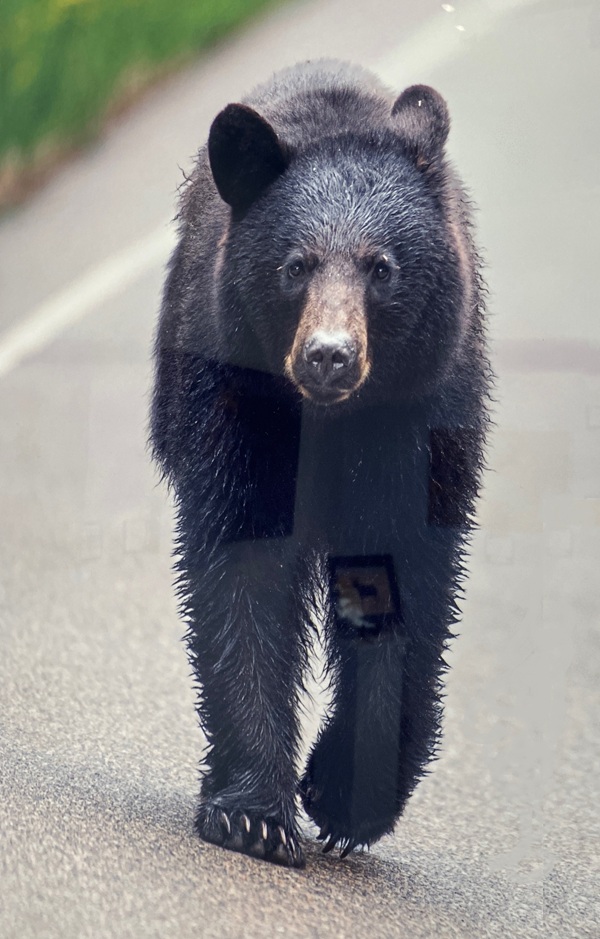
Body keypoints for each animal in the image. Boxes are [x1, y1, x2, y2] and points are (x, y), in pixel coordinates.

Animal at [150, 59, 491, 869]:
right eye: (296, 266)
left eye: (382, 268)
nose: (328, 355)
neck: (331, 420)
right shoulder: (239, 400)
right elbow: (242, 570)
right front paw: (253, 816)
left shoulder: (419, 419)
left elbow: (405, 577)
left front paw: (344, 797)